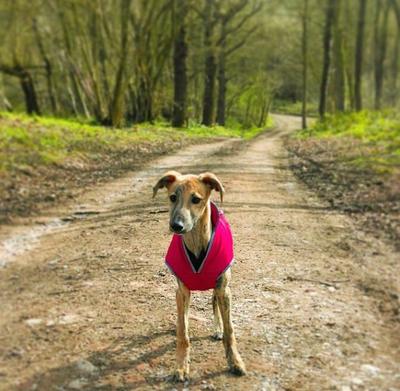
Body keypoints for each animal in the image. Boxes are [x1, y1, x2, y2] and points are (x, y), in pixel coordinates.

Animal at [153, 172, 247, 382]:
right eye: (172, 197)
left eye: (196, 199)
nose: (176, 226)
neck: (196, 243)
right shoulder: (181, 292)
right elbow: (183, 332)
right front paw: (181, 366)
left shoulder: (223, 289)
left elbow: (230, 330)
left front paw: (235, 361)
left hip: (218, 290)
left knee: (215, 306)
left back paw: (217, 329)